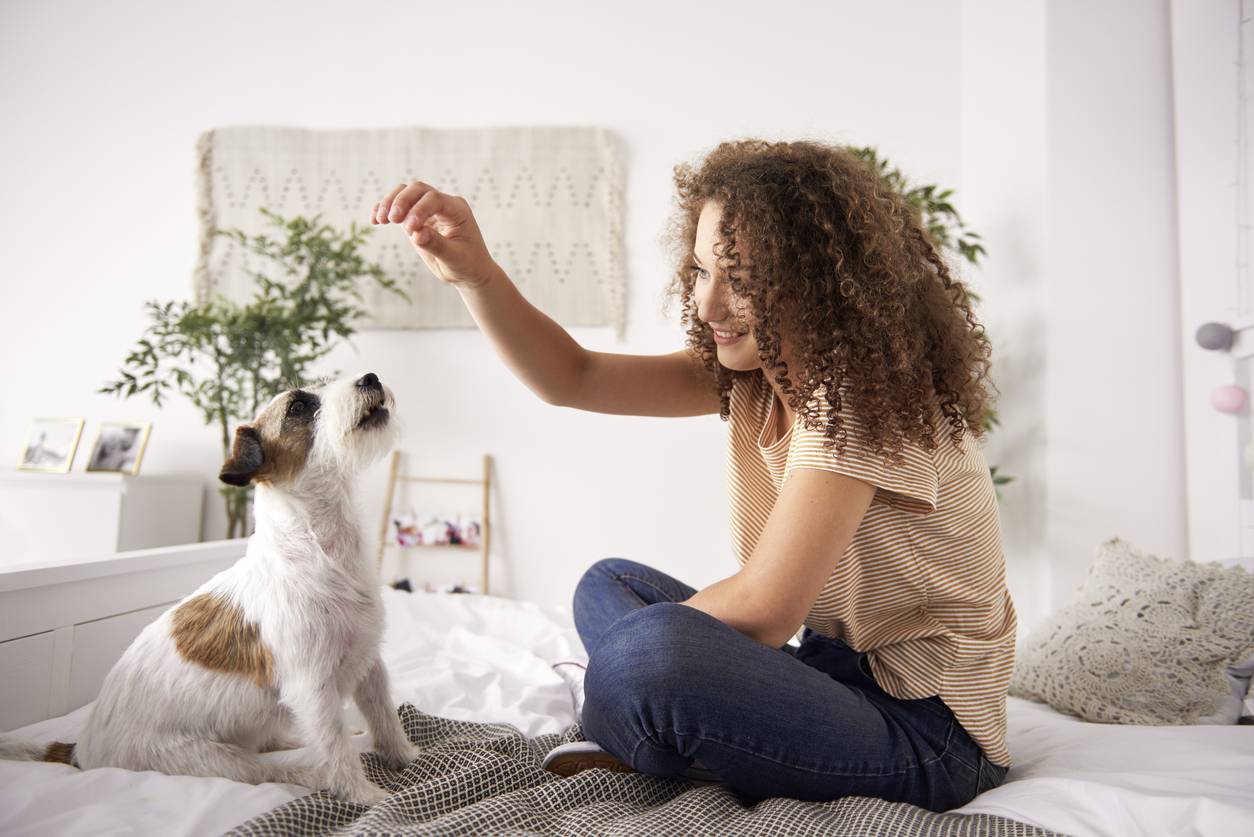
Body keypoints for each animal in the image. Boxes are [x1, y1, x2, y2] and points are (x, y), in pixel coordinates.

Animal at [0, 371, 421, 803]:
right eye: (298, 406)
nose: (370, 377)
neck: (322, 547)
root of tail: (80, 750)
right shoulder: (312, 689)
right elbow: (335, 747)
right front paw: (365, 795)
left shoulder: (369, 663)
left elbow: (384, 714)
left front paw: (404, 755)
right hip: (213, 759)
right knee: (271, 765)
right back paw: (310, 769)